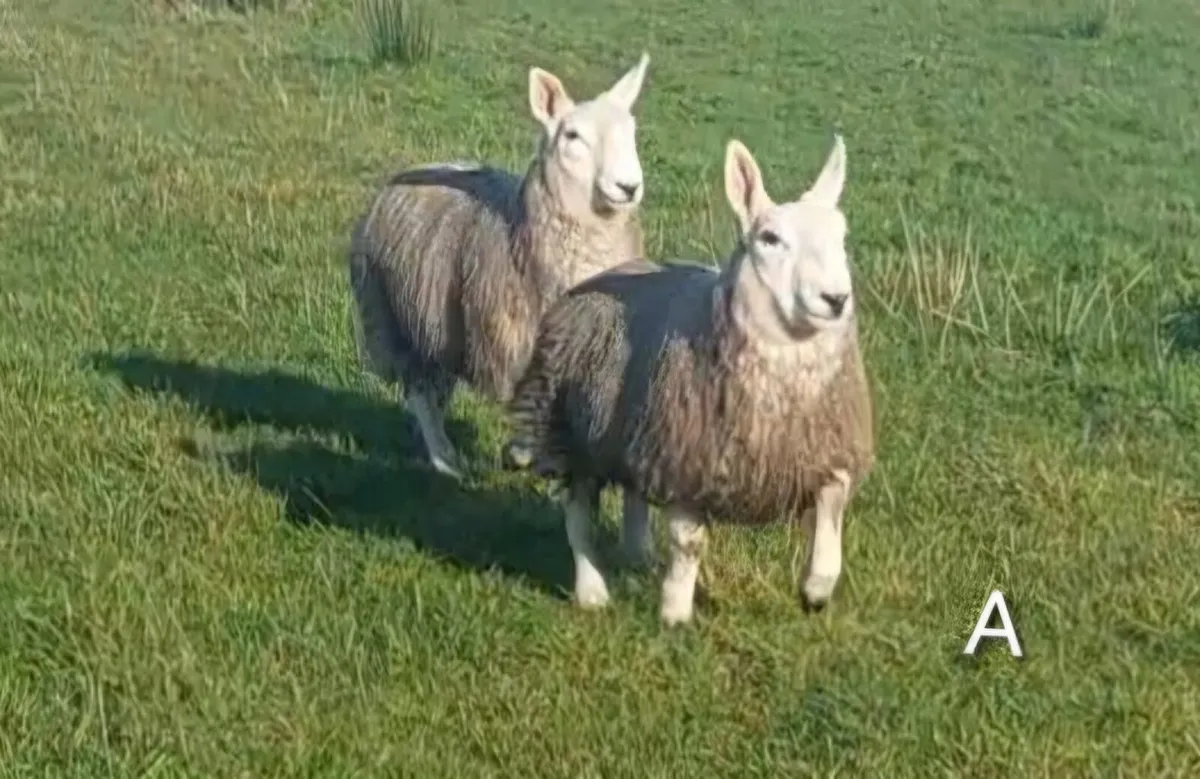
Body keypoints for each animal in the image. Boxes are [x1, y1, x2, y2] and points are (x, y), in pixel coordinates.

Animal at [348, 54, 652, 479]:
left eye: (632, 131)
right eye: (572, 136)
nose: (629, 187)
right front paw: (524, 454)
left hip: (444, 330)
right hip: (401, 318)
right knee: (421, 392)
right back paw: (445, 460)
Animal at [505, 134, 875, 625]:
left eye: (842, 237)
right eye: (770, 238)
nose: (835, 299)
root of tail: (617, 269)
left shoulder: (824, 452)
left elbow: (832, 516)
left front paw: (816, 589)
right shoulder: (687, 460)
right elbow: (688, 543)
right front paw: (675, 613)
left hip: (635, 431)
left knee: (633, 491)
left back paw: (639, 554)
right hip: (572, 431)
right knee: (578, 512)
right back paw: (592, 591)